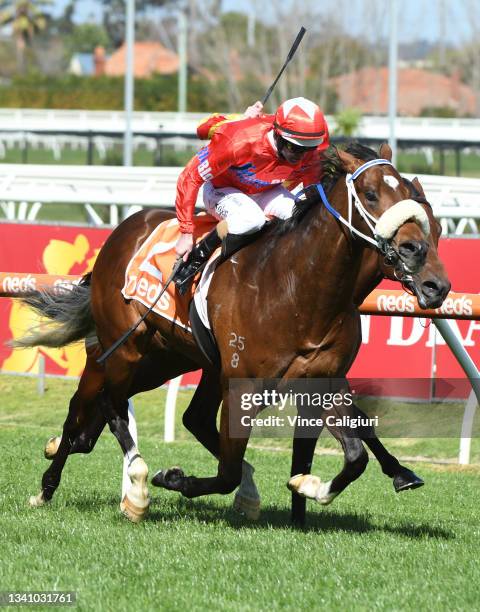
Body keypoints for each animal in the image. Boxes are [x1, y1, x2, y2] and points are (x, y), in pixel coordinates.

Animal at [12, 141, 454, 524]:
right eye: (370, 193)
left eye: (434, 227)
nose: (434, 282)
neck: (299, 288)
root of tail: (125, 228)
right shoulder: (241, 384)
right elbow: (225, 472)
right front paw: (172, 478)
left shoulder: (320, 379)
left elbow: (354, 451)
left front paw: (308, 487)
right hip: (124, 348)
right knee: (102, 402)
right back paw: (110, 488)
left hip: (168, 358)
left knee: (154, 414)